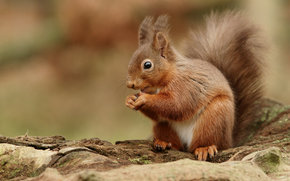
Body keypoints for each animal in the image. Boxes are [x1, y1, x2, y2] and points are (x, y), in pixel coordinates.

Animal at [124, 10, 266, 161]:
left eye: (147, 65)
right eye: (131, 58)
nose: (130, 84)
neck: (169, 75)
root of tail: (229, 141)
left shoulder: (186, 85)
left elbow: (177, 104)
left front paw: (145, 99)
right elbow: (159, 113)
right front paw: (129, 100)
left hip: (215, 117)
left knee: (204, 143)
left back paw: (205, 148)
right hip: (163, 127)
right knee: (177, 145)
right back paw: (163, 143)